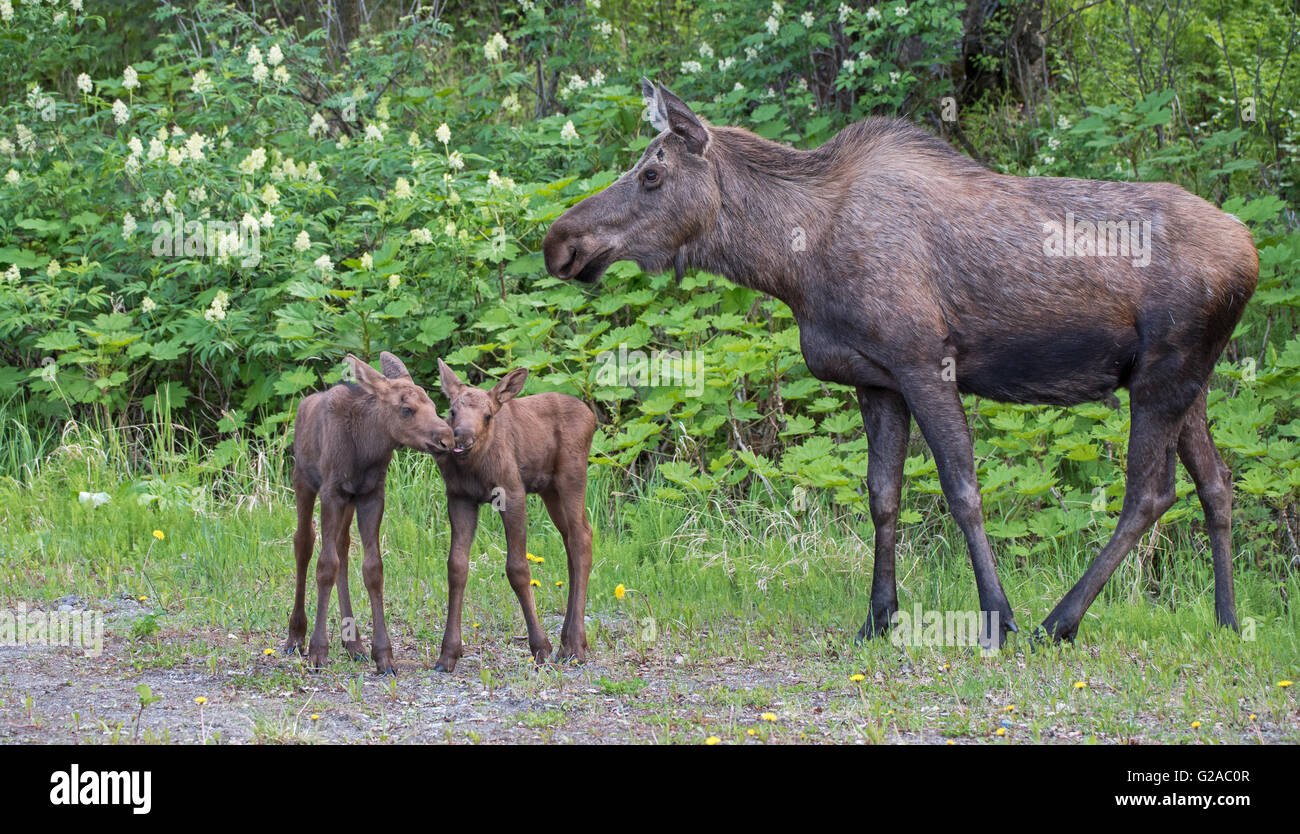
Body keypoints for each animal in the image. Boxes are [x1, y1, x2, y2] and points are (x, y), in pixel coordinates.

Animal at [284, 348, 452, 670]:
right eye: (406, 409)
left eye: (434, 405)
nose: (447, 438)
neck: (367, 449)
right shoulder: (332, 492)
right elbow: (325, 565)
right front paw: (318, 649)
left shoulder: (371, 495)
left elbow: (372, 568)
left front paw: (383, 654)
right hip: (303, 481)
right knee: (304, 543)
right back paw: (296, 635)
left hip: (349, 502)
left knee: (342, 547)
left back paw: (353, 643)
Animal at [436, 358, 598, 670]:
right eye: (452, 411)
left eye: (488, 415)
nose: (462, 439)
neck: (474, 468)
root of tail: (592, 417)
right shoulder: (460, 497)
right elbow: (456, 566)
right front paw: (448, 652)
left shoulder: (512, 493)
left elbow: (518, 568)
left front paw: (540, 647)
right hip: (549, 490)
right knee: (571, 540)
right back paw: (569, 642)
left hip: (572, 476)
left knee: (582, 537)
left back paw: (573, 645)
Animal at [540, 79, 1258, 644]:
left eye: (651, 173)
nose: (559, 242)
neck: (792, 263)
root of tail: (1250, 252)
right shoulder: (875, 381)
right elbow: (882, 496)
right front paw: (878, 617)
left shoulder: (923, 361)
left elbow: (962, 489)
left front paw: (996, 617)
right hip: (1186, 379)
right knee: (1216, 482)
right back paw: (1225, 618)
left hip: (1164, 374)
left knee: (1150, 492)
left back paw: (1059, 621)